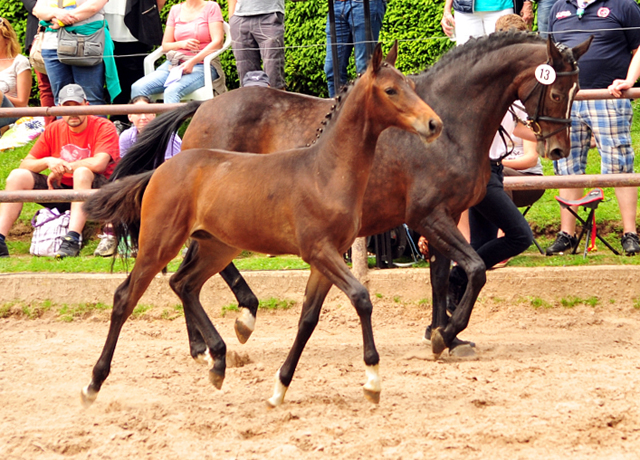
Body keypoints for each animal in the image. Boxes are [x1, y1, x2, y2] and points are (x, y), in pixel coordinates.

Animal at [80, 45, 442, 408]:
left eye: (410, 84)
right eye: (390, 90)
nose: (434, 124)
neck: (325, 171)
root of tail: (161, 170)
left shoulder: (328, 258)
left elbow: (308, 318)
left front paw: (280, 388)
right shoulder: (319, 251)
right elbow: (361, 297)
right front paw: (372, 380)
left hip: (217, 247)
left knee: (184, 284)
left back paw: (218, 359)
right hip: (160, 244)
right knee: (126, 297)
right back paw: (94, 383)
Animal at [114, 33, 592, 360]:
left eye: (575, 90)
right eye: (554, 89)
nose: (558, 150)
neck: (451, 121)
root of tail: (204, 107)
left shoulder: (443, 216)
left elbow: (441, 278)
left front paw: (444, 334)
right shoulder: (429, 216)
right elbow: (474, 270)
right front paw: (445, 333)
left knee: (188, 271)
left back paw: (211, 338)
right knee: (188, 269)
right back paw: (231, 325)